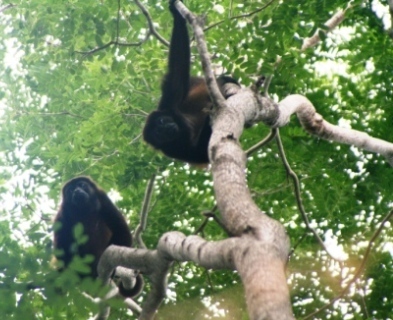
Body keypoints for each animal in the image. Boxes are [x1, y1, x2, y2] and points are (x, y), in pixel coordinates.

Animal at [142, 0, 240, 164]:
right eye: (158, 134)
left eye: (161, 122)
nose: (166, 129)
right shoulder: (171, 150)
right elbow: (200, 153)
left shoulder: (167, 104)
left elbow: (177, 75)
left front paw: (176, 15)